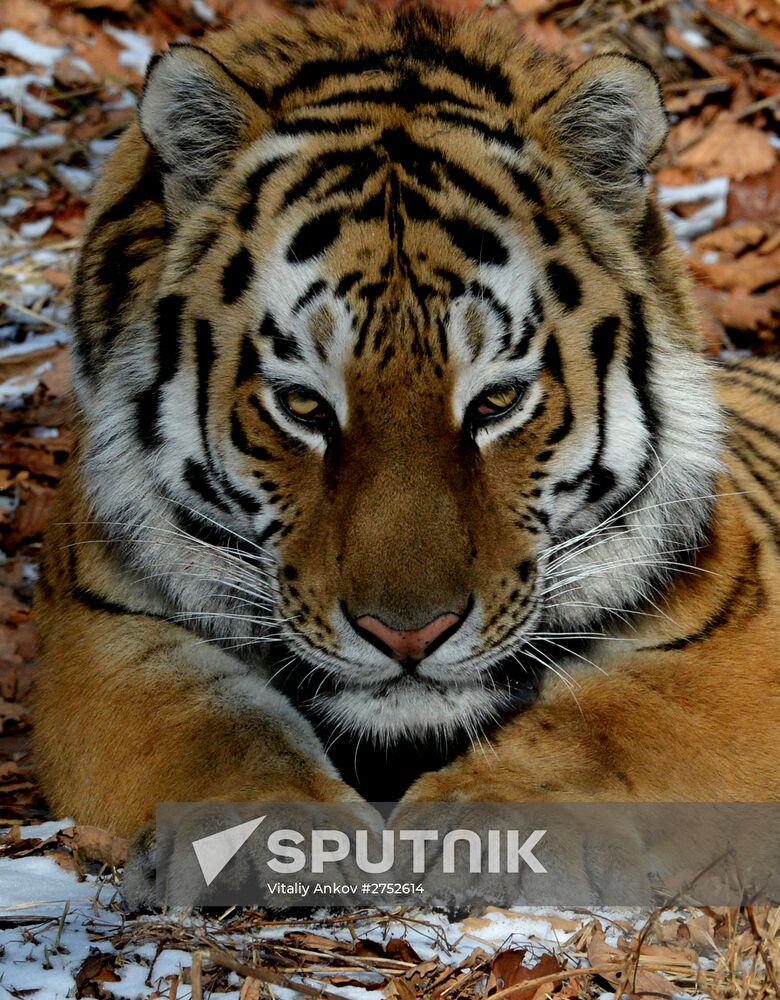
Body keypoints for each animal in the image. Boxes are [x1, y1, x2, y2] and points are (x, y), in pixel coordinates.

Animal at [34, 5, 780, 852]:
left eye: (496, 402)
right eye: (304, 407)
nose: (408, 637)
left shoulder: (728, 620)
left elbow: (597, 731)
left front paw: (468, 833)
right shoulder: (103, 621)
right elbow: (216, 737)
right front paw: (290, 838)